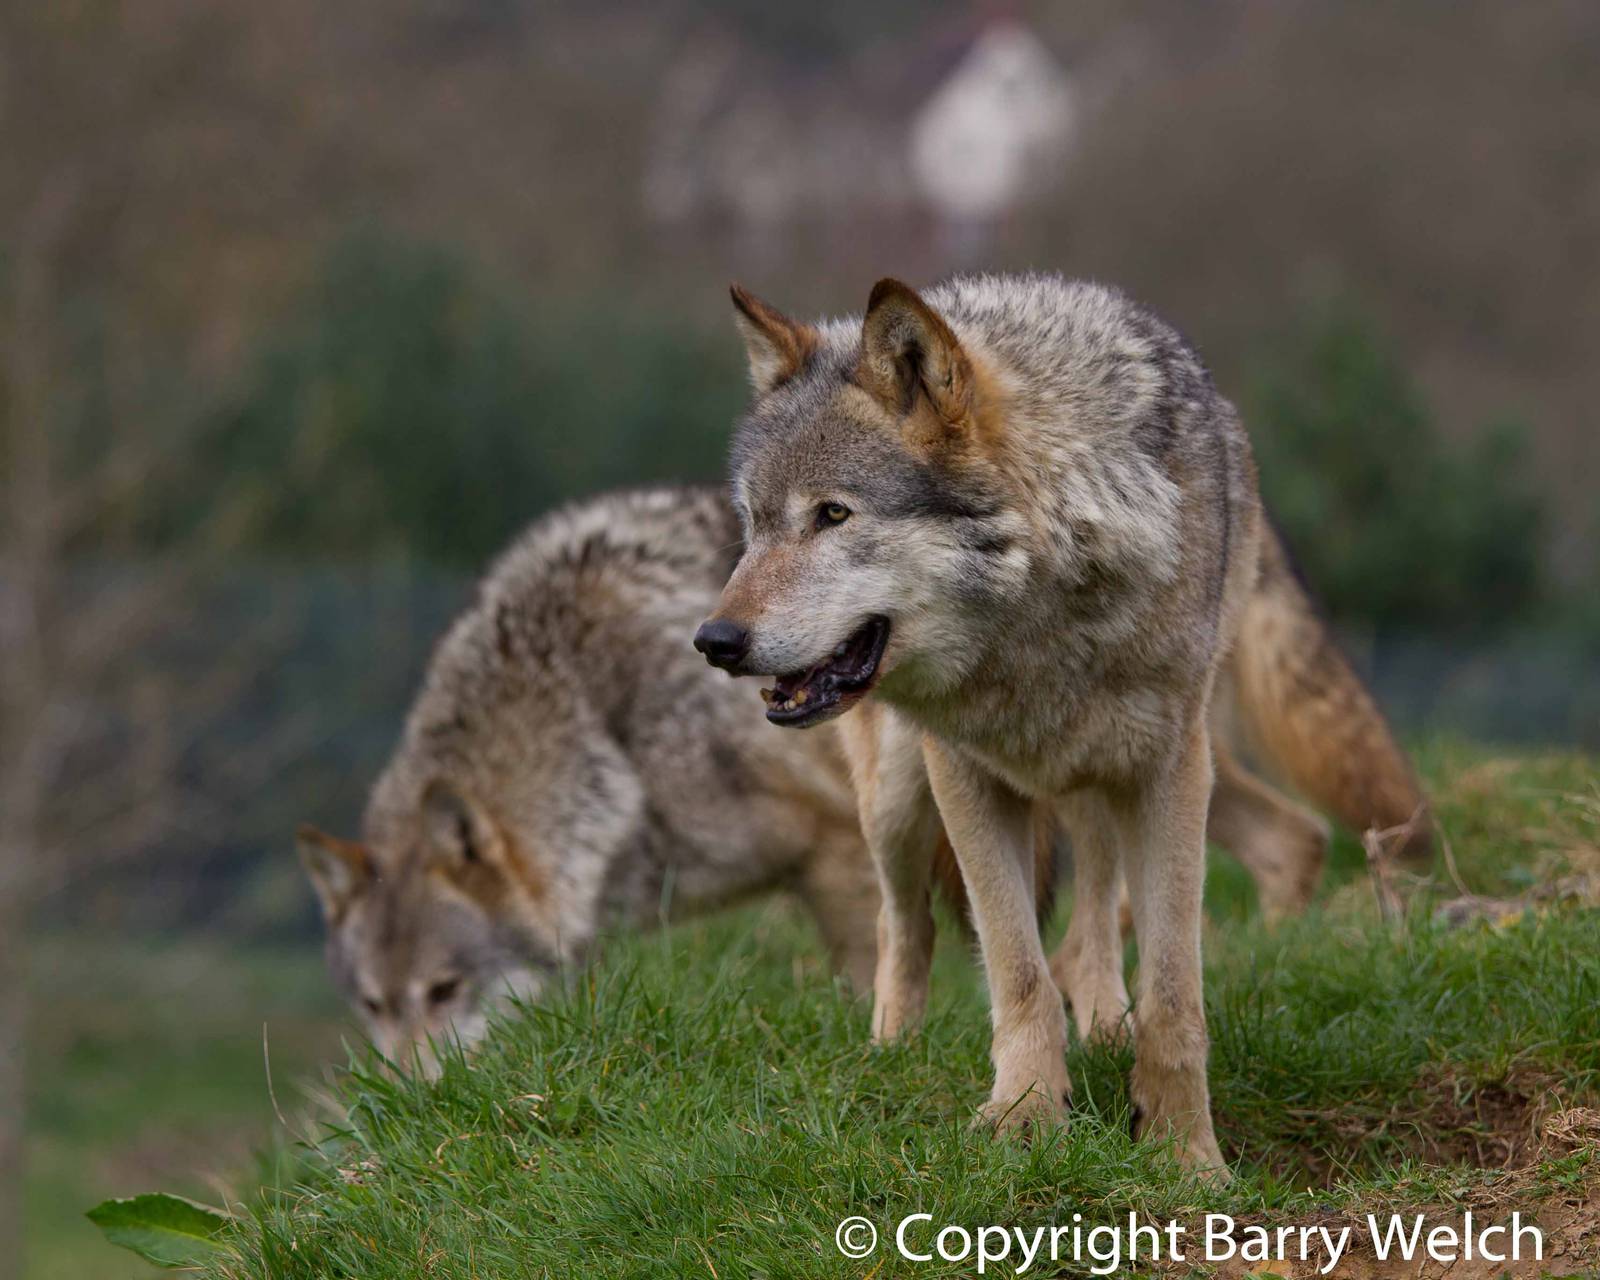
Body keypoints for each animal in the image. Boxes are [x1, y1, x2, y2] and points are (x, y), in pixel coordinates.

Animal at [695, 273, 1430, 1175]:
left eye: (833, 515)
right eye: (755, 524)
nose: (714, 641)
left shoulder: (1167, 773)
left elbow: (1174, 993)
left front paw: (1186, 1154)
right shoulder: (965, 775)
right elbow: (1018, 970)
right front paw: (1026, 1119)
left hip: (1135, 768)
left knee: (1186, 881)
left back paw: (1110, 1029)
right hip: (903, 798)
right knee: (904, 924)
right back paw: (892, 1053)